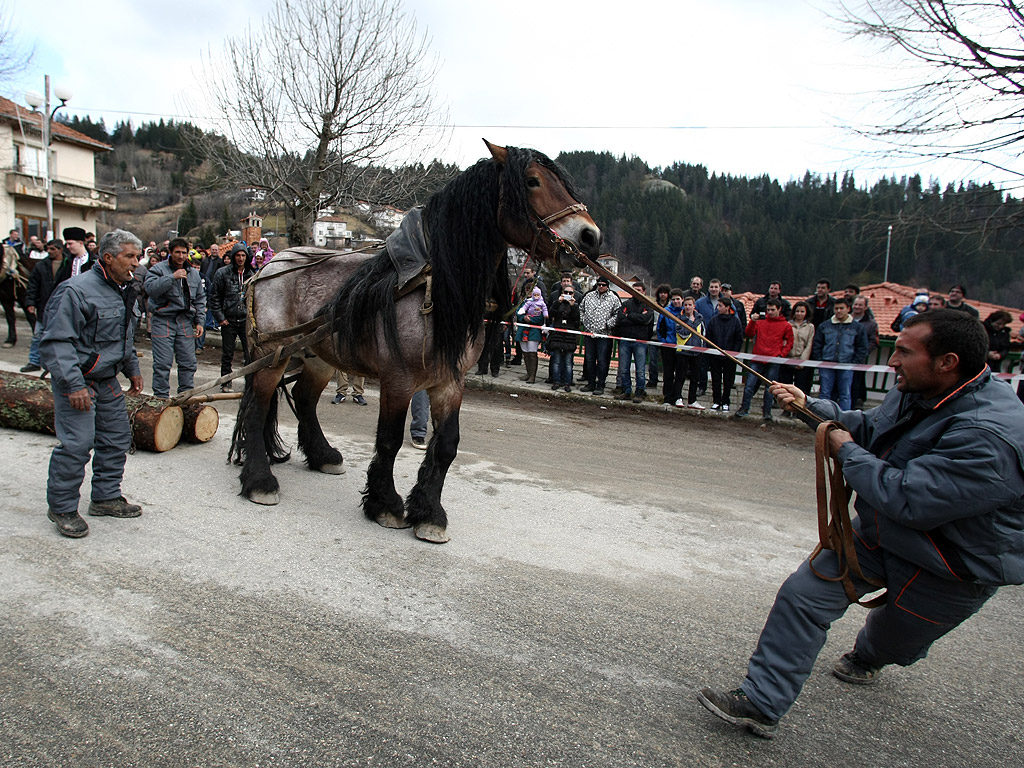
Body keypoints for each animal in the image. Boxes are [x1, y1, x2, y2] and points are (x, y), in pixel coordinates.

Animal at [230, 141, 598, 544]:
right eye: (532, 181)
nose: (590, 236)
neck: (434, 286)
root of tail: (268, 267)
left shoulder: (449, 381)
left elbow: (447, 444)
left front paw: (429, 513)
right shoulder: (398, 380)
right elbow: (389, 440)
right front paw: (386, 505)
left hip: (318, 357)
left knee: (304, 399)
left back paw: (323, 456)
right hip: (271, 355)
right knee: (258, 405)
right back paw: (259, 481)